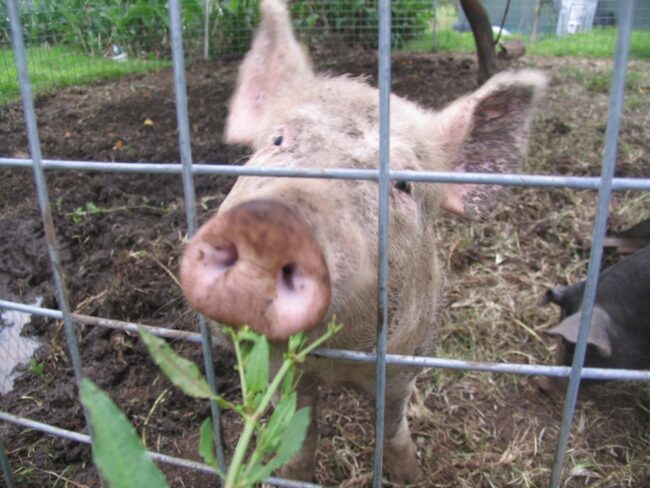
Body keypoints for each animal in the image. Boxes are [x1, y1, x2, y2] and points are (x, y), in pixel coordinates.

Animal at [179, 0, 547, 483]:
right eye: (278, 139)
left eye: (404, 184)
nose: (271, 226)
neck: (338, 361)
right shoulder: (284, 371)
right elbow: (300, 430)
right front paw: (292, 475)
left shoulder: (402, 365)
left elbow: (391, 424)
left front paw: (410, 475)